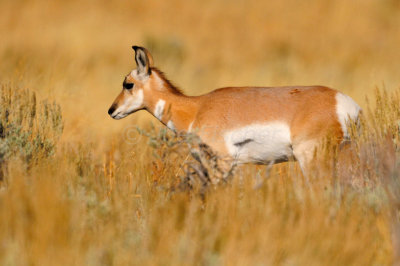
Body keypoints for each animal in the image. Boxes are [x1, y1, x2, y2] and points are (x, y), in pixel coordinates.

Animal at [108, 45, 360, 171]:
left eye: (128, 83)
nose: (111, 110)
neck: (197, 107)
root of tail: (344, 103)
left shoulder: (223, 163)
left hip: (311, 159)